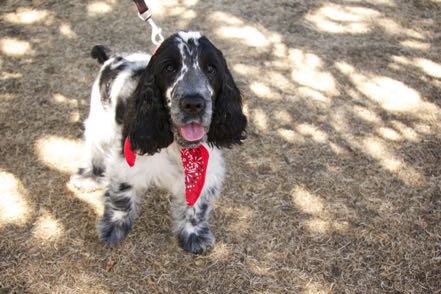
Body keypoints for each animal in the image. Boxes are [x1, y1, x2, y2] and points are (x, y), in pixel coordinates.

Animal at [70, 31, 246, 254]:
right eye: (169, 68)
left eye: (211, 68)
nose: (193, 103)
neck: (179, 147)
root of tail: (115, 58)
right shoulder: (127, 160)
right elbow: (122, 196)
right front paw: (113, 228)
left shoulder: (206, 168)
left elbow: (196, 206)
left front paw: (194, 235)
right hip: (101, 120)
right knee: (94, 149)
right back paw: (88, 177)